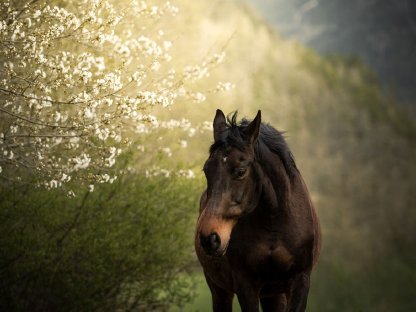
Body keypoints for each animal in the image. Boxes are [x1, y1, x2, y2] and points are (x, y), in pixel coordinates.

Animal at [196, 109, 322, 312]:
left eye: (241, 171)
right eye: (207, 169)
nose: (209, 238)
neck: (274, 221)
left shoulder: (300, 281)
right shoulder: (246, 285)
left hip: (275, 294)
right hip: (219, 289)